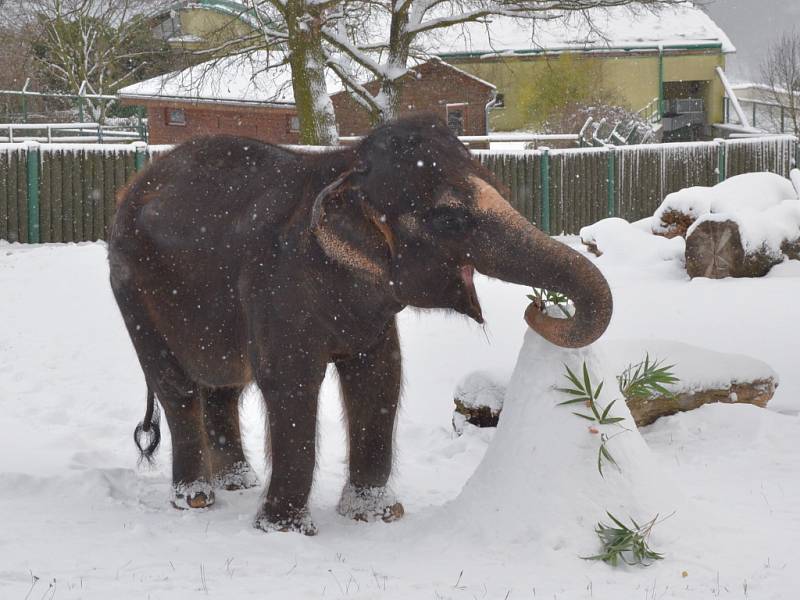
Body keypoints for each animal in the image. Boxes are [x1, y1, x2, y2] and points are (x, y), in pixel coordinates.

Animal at [106, 113, 612, 536]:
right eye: (451, 218)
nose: (539, 309)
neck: (343, 168)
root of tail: (131, 187)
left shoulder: (371, 306)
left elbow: (381, 376)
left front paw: (378, 516)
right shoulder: (277, 283)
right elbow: (290, 381)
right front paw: (285, 531)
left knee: (223, 385)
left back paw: (239, 484)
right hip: (130, 288)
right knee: (177, 387)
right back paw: (196, 499)